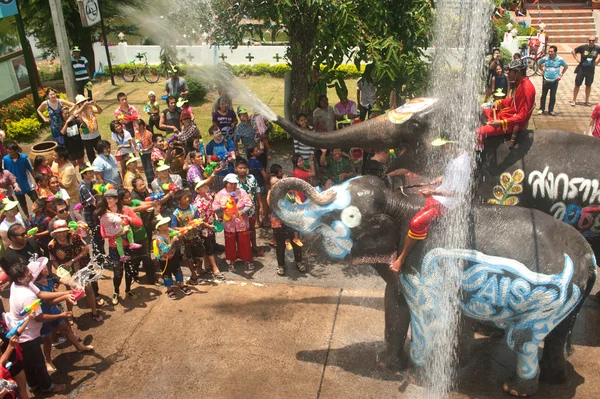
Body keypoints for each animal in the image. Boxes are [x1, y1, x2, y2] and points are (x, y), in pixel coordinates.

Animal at [270, 177, 596, 396]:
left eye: (341, 216)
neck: (401, 204)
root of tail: (588, 258)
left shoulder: (423, 263)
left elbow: (426, 316)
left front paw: (416, 378)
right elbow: (395, 305)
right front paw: (385, 363)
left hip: (549, 301)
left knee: (523, 340)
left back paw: (515, 389)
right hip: (572, 299)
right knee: (557, 334)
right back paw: (557, 379)